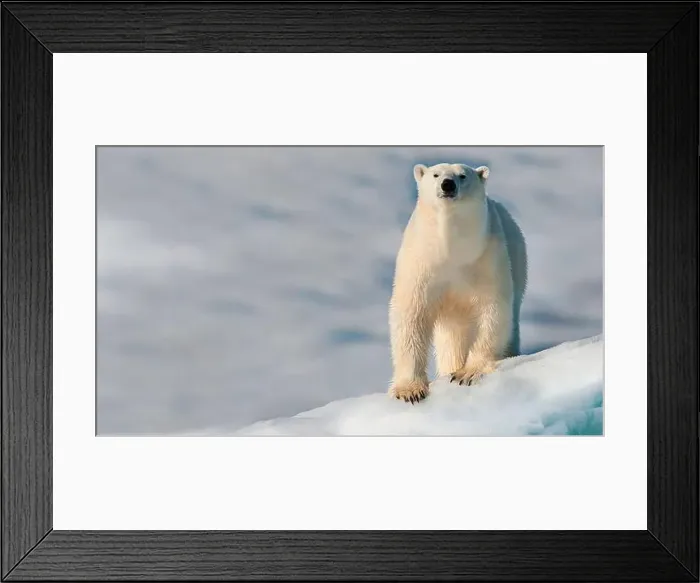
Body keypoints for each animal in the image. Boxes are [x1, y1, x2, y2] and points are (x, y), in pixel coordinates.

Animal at [388, 162, 527, 403]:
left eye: (462, 176)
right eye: (436, 174)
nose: (447, 184)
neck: (451, 250)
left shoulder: (487, 258)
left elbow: (493, 310)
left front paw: (467, 373)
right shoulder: (421, 263)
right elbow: (411, 315)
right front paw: (410, 390)